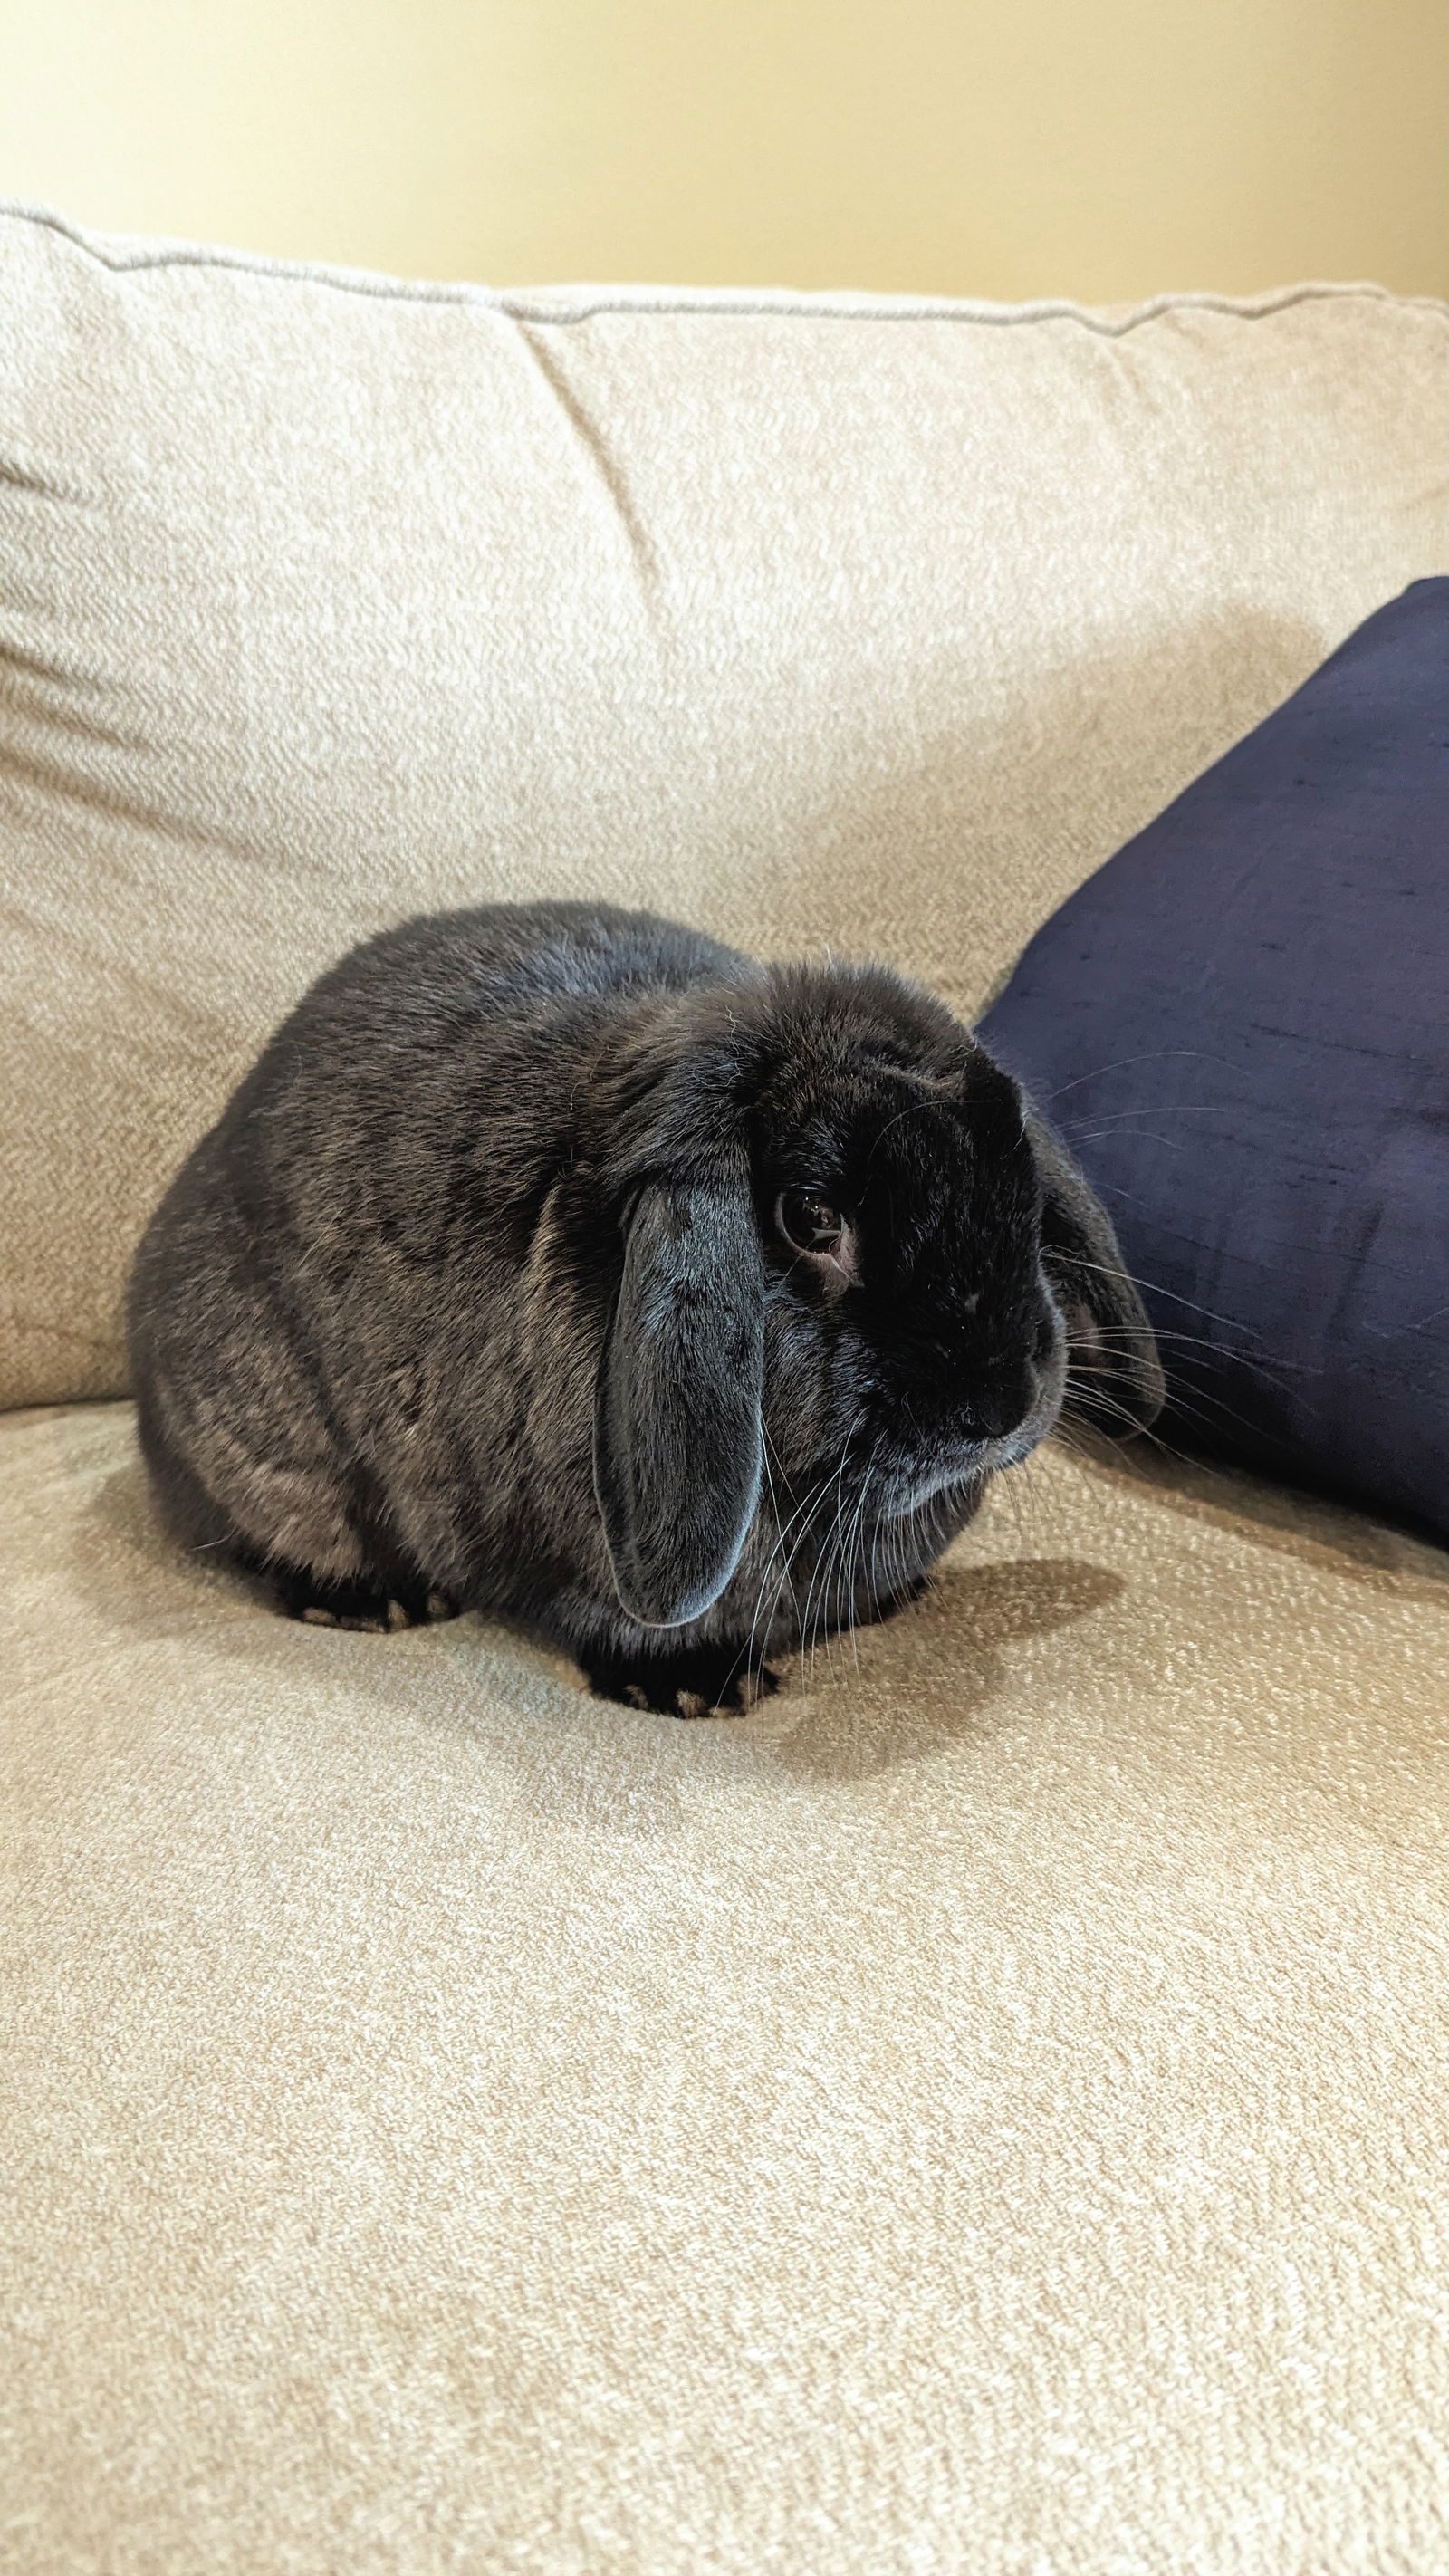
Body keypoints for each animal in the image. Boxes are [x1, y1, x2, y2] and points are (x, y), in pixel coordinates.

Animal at [130, 896, 1163, 1720]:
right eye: (811, 1217)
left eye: (1019, 1189)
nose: (1000, 1407)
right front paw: (699, 1691)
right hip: (267, 1439)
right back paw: (377, 1603)